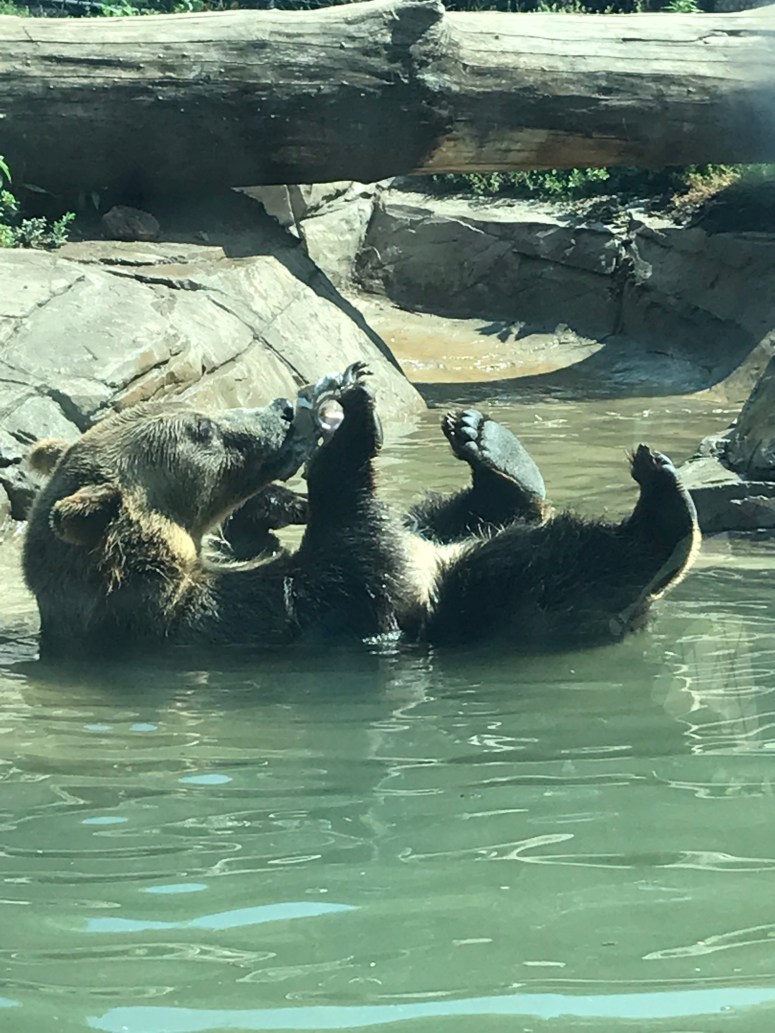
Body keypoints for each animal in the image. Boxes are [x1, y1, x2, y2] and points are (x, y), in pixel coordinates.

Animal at [23, 364, 408, 659]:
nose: (283, 408)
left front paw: (279, 505)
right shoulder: (221, 620)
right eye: (203, 429)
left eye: (199, 410)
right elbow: (340, 576)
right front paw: (353, 419)